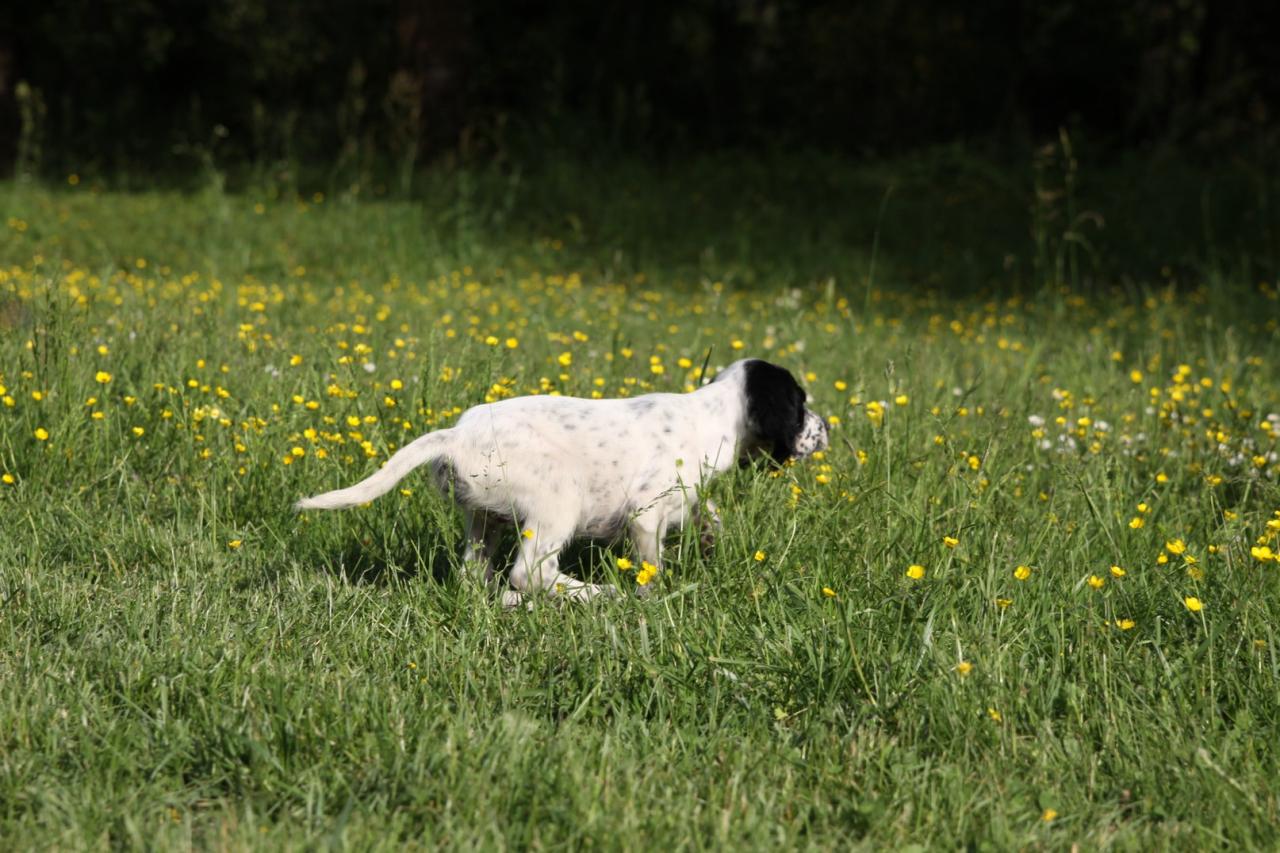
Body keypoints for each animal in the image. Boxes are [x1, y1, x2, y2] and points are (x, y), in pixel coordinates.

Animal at [294, 356, 824, 601]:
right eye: (800, 406)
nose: (827, 429)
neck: (711, 415)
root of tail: (456, 435)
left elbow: (705, 511)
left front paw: (714, 540)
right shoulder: (645, 511)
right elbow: (652, 563)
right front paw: (650, 595)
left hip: (484, 518)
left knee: (477, 571)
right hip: (558, 499)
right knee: (530, 572)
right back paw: (594, 594)